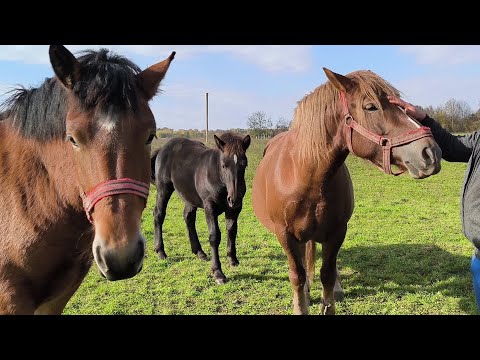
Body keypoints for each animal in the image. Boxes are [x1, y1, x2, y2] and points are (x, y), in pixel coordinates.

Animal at [152, 132, 251, 284]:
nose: (234, 199)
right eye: (224, 165)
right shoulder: (209, 207)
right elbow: (214, 236)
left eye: (244, 164)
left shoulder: (234, 210)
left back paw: (199, 252)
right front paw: (218, 273)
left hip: (189, 196)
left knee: (188, 217)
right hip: (163, 189)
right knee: (159, 214)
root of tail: (163, 148)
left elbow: (232, 231)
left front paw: (232, 260)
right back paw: (161, 252)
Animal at [251, 68, 442, 316]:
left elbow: (327, 274)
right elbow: (297, 276)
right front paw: (301, 301)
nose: (431, 153)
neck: (304, 174)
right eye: (370, 106)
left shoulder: (337, 232)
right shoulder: (285, 235)